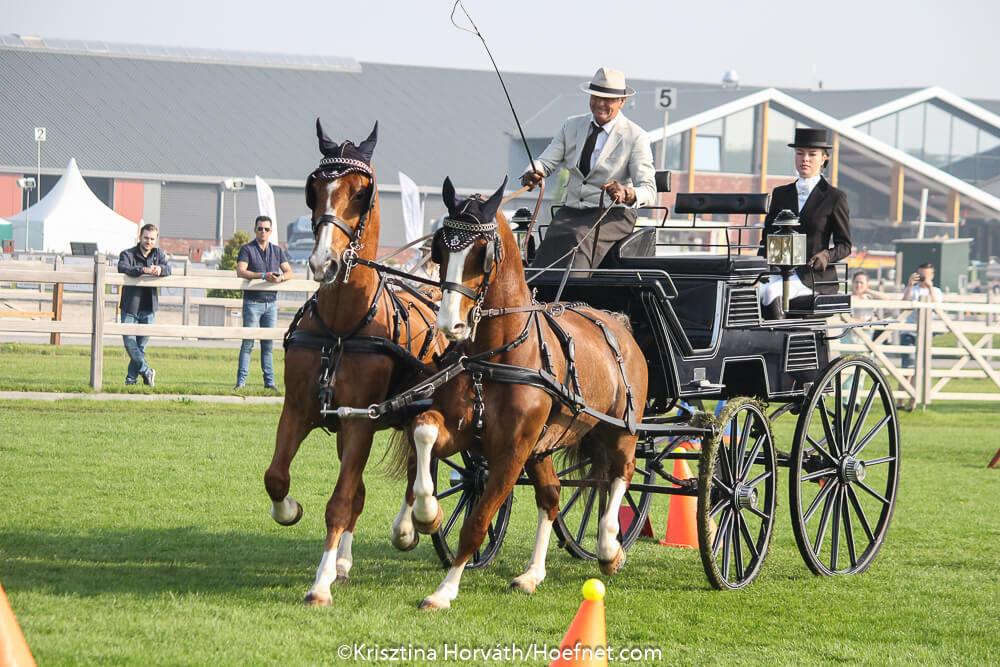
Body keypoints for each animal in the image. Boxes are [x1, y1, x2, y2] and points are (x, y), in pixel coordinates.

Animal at [262, 120, 446, 604]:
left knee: (420, 463)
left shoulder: (363, 420)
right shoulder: (302, 409)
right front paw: (292, 511)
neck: (342, 326)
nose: (321, 261)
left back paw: (409, 527)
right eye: (314, 188)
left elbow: (341, 500)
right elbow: (277, 478)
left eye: (362, 192)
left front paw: (320, 583)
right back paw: (346, 560)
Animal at [406, 177, 648, 612]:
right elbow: (424, 430)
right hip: (543, 447)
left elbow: (478, 521)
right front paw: (425, 514)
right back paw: (533, 574)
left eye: (482, 253)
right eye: (439, 248)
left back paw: (609, 549)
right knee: (552, 496)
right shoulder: (466, 431)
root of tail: (617, 322)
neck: (498, 354)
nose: (450, 324)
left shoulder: (511, 451)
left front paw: (444, 591)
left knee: (621, 474)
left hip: (622, 429)